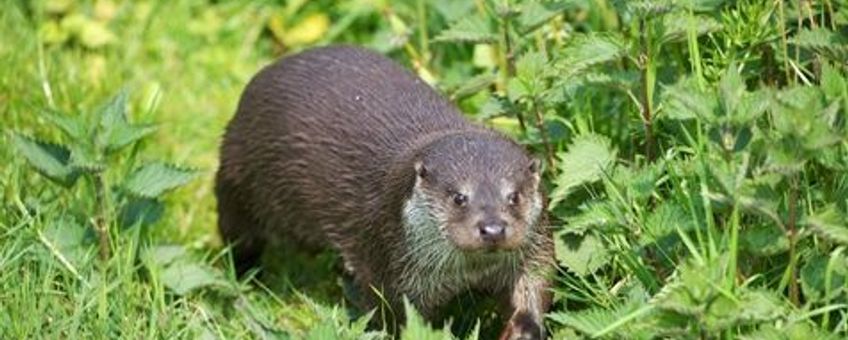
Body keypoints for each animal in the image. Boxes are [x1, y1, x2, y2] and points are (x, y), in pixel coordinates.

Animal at [215, 45, 552, 340]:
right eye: (459, 197)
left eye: (514, 196)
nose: (492, 229)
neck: (468, 273)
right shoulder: (389, 267)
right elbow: (395, 318)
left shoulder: (535, 251)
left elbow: (536, 287)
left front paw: (522, 328)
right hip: (238, 179)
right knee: (238, 236)